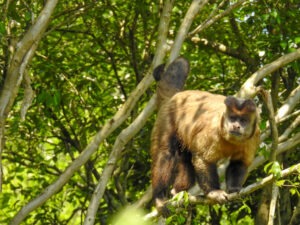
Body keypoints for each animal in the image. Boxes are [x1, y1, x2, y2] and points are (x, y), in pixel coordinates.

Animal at [151, 57, 258, 217]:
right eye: (233, 118)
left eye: (243, 120)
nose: (236, 126)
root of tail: (176, 96)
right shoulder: (212, 131)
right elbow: (203, 159)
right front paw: (214, 192)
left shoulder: (254, 136)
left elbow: (240, 162)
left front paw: (233, 189)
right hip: (166, 116)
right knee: (165, 152)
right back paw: (160, 197)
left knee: (186, 158)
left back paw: (178, 191)